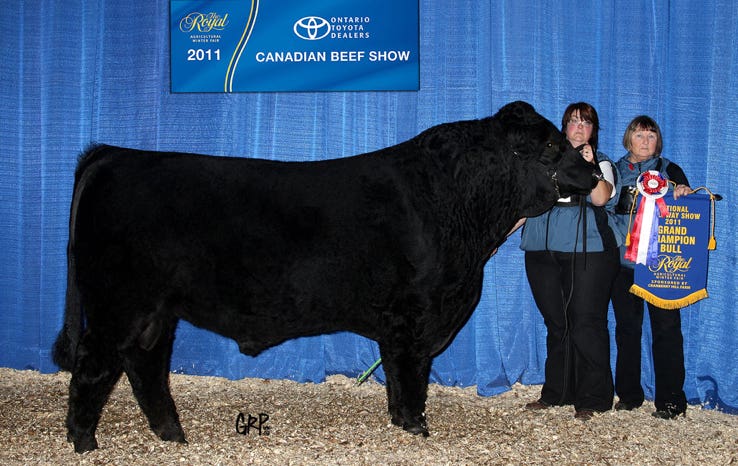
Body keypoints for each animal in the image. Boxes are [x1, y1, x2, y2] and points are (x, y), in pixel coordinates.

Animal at [53, 101, 598, 452]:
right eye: (553, 146)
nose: (594, 175)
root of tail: (113, 154)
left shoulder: (400, 324)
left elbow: (396, 377)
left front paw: (401, 423)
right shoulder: (414, 317)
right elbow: (410, 375)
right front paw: (416, 428)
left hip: (155, 312)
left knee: (145, 366)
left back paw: (172, 435)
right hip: (118, 305)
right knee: (94, 367)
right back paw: (84, 441)